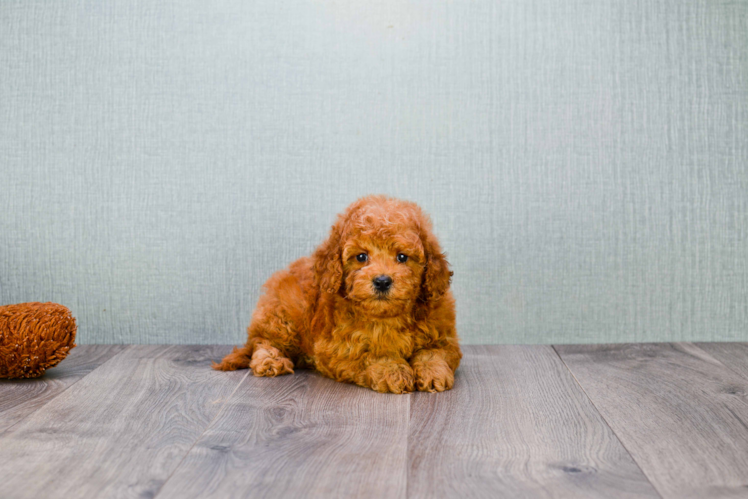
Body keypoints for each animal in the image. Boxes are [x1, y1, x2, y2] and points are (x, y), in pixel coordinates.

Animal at [213, 195, 462, 394]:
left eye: (402, 257)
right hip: (281, 316)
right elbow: (371, 355)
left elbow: (435, 352)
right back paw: (270, 361)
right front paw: (392, 371)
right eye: (361, 257)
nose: (382, 281)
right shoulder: (339, 348)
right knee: (261, 341)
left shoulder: (445, 336)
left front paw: (433, 372)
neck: (387, 316)